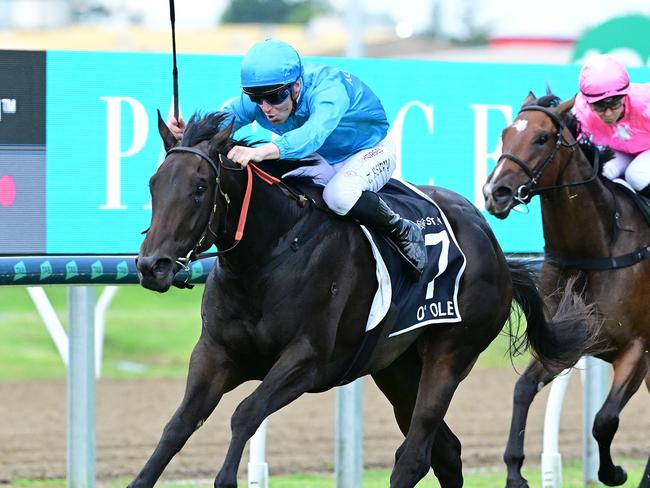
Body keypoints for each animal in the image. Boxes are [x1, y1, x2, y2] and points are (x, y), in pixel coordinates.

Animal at [132, 110, 596, 488]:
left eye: (199, 187)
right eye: (153, 184)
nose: (152, 265)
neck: (270, 253)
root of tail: (493, 244)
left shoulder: (307, 360)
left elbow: (245, 413)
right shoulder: (215, 353)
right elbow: (177, 426)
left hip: (451, 355)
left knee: (415, 455)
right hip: (397, 368)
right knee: (446, 452)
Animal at [480, 92, 648, 488]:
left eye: (542, 139)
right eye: (505, 133)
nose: (495, 192)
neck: (595, 250)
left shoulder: (636, 349)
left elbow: (604, 420)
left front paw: (613, 471)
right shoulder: (563, 342)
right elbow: (523, 390)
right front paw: (515, 472)